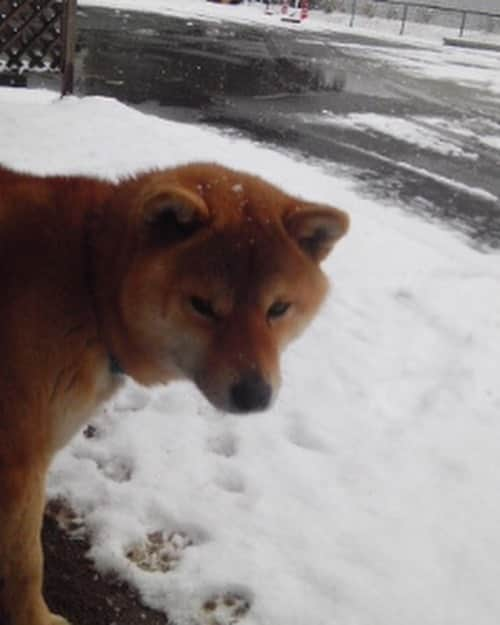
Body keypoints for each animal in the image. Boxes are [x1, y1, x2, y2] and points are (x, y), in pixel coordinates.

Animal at [0, 162, 348, 624]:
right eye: (202, 306)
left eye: (278, 309)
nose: (255, 394)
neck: (88, 279)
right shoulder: (20, 462)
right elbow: (25, 562)